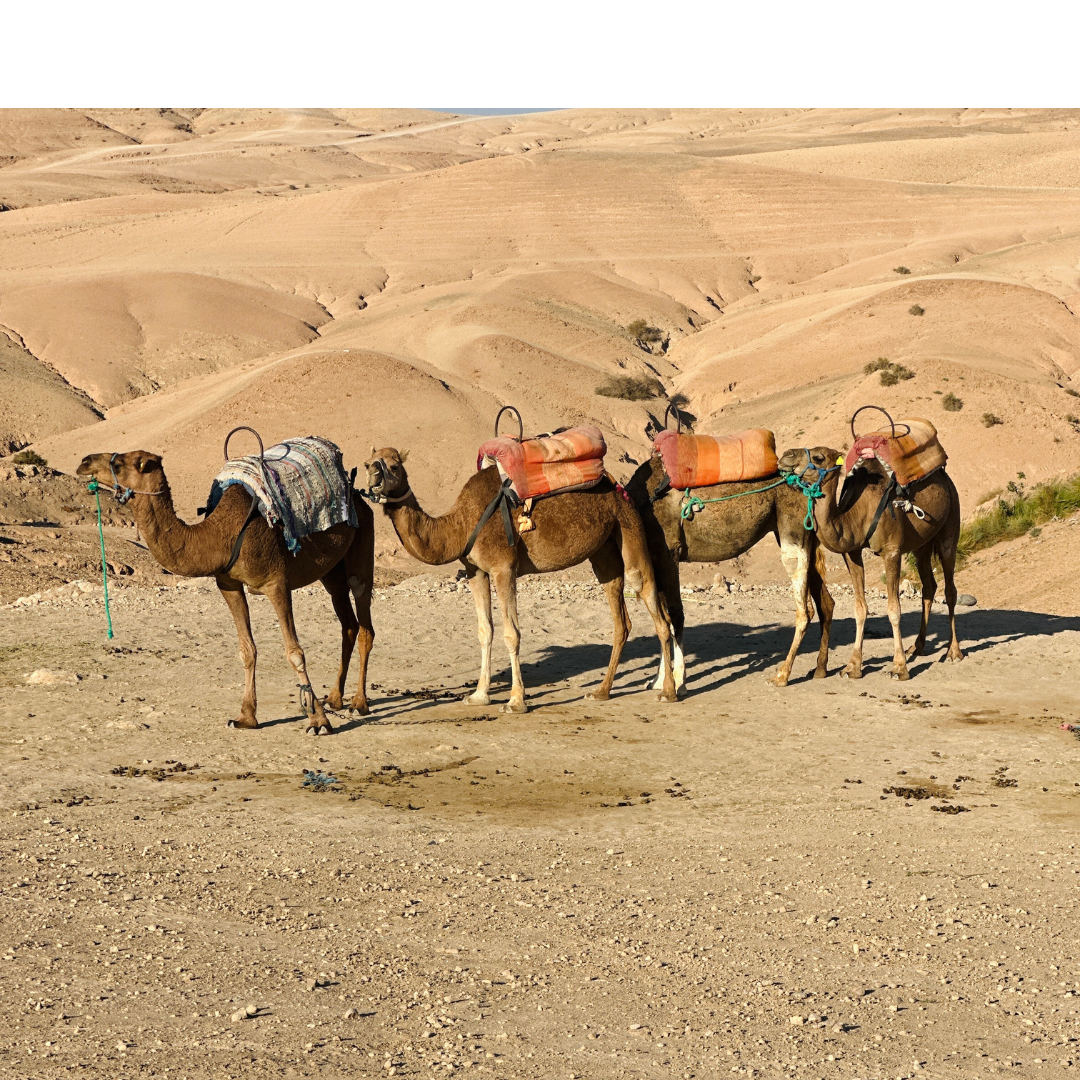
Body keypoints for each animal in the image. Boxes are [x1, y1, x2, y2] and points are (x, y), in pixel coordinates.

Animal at [73, 447, 373, 734]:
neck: (218, 536)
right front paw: (246, 717)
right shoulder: (228, 585)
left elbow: (295, 653)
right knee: (347, 623)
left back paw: (359, 703)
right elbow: (247, 649)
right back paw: (335, 698)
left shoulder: (276, 582)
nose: (84, 462)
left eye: (119, 463)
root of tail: (357, 495)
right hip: (330, 572)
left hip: (362, 539)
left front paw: (318, 722)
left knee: (363, 615)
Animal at [367, 449, 678, 712]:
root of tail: (619, 489)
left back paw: (668, 692)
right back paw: (601, 691)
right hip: (603, 551)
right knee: (620, 616)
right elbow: (485, 630)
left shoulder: (503, 567)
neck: (460, 524)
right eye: (370, 461)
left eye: (394, 466)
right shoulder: (475, 571)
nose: (373, 475)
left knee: (655, 608)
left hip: (629, 526)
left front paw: (516, 701)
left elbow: (511, 633)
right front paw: (479, 696)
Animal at [626, 453, 833, 691]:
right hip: (803, 535)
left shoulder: (669, 551)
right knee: (825, 603)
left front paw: (677, 681)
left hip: (794, 532)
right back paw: (819, 669)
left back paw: (781, 675)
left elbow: (674, 615)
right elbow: (662, 618)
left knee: (804, 609)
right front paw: (659, 681)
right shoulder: (655, 558)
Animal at [777, 442, 963, 678]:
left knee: (950, 588)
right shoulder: (852, 553)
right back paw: (917, 647)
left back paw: (953, 652)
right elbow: (860, 608)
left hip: (951, 522)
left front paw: (899, 668)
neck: (858, 514)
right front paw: (852, 666)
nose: (785, 455)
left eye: (819, 457)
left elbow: (894, 609)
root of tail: (945, 478)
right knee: (929, 587)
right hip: (921, 544)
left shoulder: (891, 551)